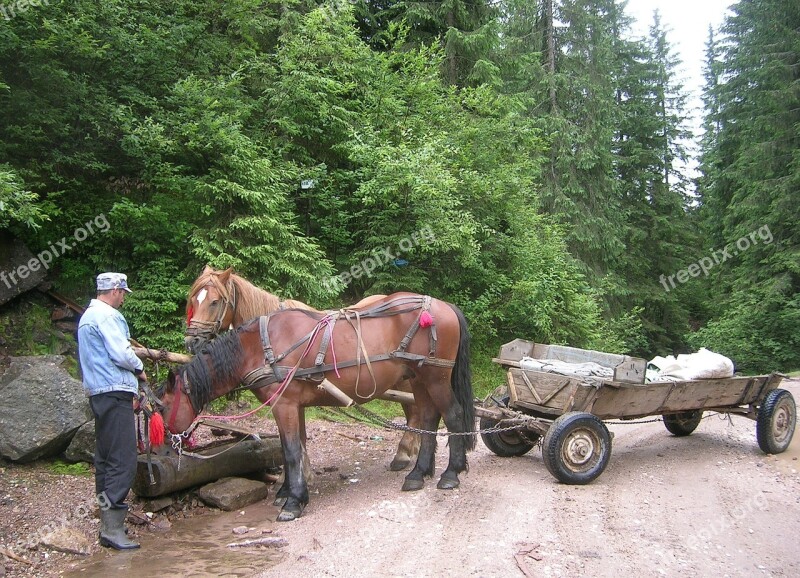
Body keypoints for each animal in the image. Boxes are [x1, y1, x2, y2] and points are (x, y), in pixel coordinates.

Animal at [159, 290, 478, 520]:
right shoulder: (293, 406)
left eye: (161, 406)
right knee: (428, 418)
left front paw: (294, 502)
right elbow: (295, 447)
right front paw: (288, 491)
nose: (163, 446)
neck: (260, 346)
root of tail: (444, 306)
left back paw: (450, 474)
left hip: (435, 378)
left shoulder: (285, 404)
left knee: (453, 416)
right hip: (419, 380)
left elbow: (290, 451)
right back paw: (418, 474)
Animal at [185, 264, 422, 468]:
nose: (191, 341)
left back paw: (404, 453)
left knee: (415, 411)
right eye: (194, 301)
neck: (268, 334)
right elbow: (300, 438)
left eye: (215, 302)